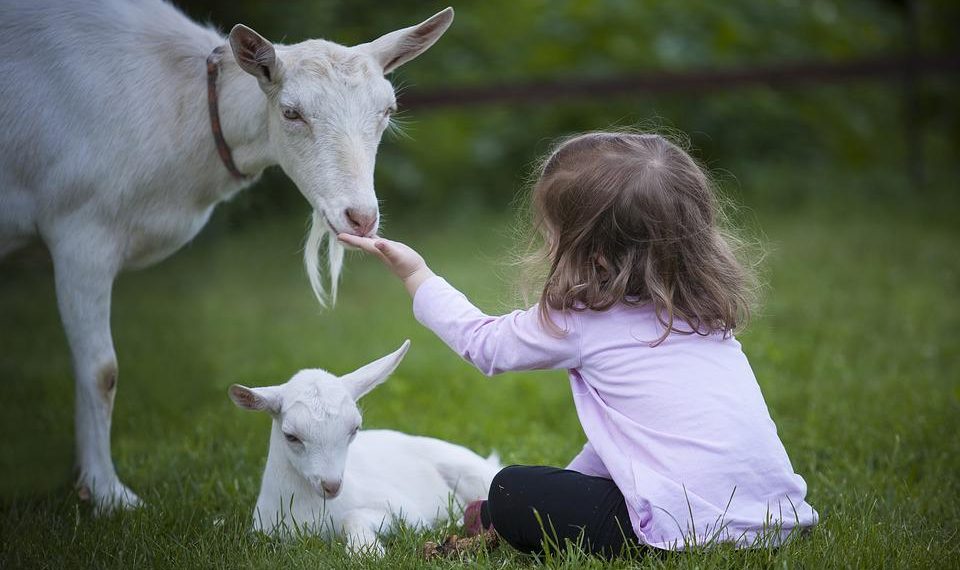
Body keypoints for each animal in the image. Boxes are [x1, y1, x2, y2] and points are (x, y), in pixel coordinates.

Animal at [0, 0, 453, 512]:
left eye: (388, 110)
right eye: (291, 112)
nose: (360, 217)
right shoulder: (80, 229)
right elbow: (101, 370)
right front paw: (107, 493)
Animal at [229, 341, 500, 554]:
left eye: (354, 429)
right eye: (291, 436)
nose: (332, 485)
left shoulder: (407, 512)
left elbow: (355, 516)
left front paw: (365, 550)